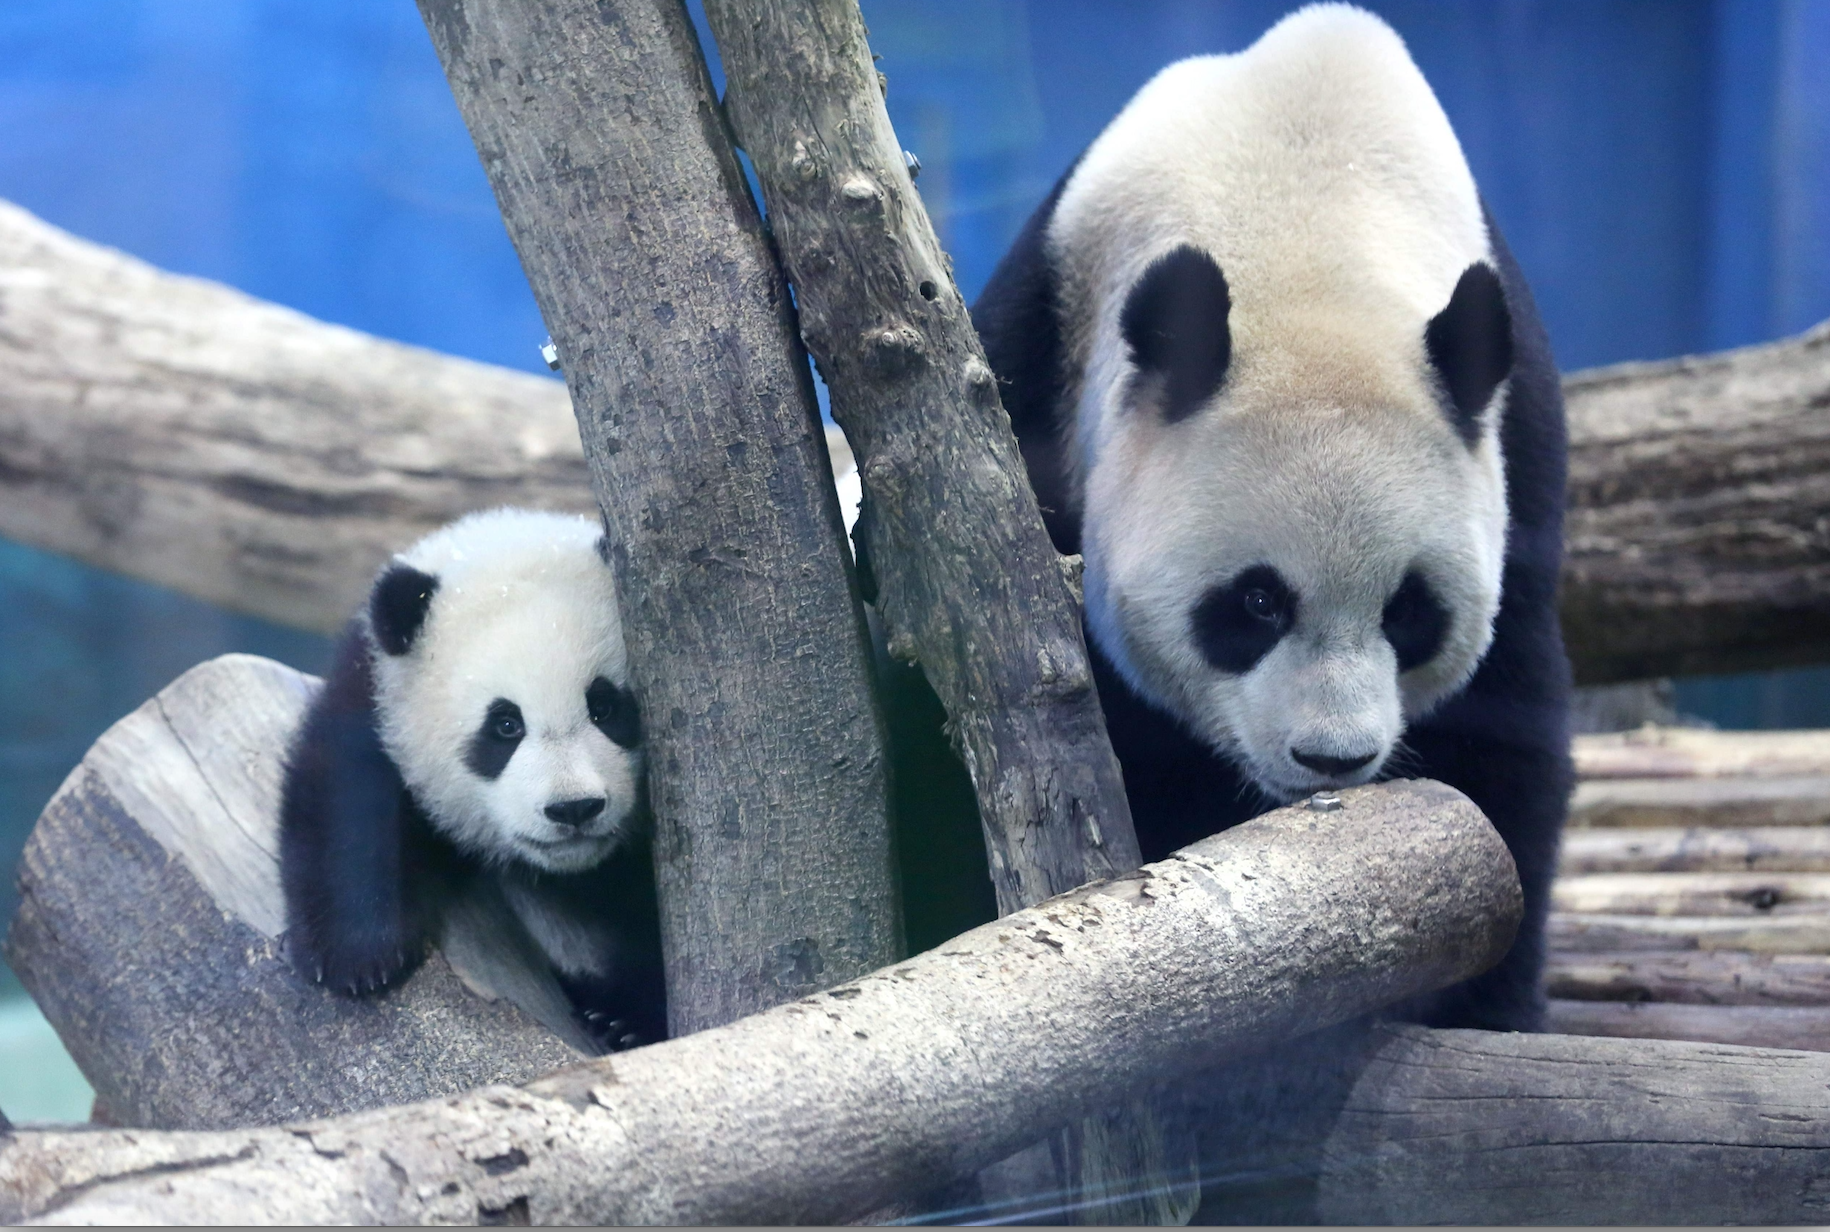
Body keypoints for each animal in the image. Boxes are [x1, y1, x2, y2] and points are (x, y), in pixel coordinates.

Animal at [279, 507, 666, 1050]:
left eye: (605, 707)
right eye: (505, 725)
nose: (573, 808)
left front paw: (627, 1018)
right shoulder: (379, 693)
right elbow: (347, 797)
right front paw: (356, 956)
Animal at [965, 4, 1573, 1032]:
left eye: (1409, 611)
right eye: (1256, 603)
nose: (1331, 758)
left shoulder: (1516, 451)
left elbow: (1504, 735)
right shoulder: (1044, 341)